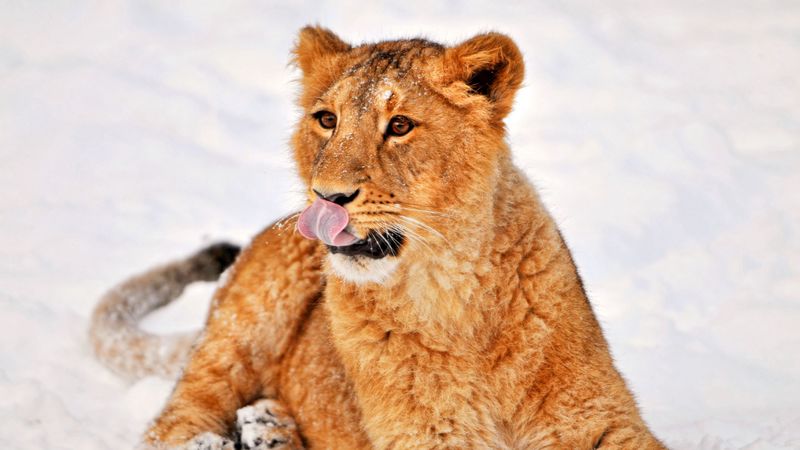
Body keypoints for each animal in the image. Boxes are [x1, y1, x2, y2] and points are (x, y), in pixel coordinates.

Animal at [90, 26, 666, 449]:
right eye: (327, 119)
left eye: (401, 125)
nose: (328, 197)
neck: (454, 295)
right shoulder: (429, 437)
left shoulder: (602, 421)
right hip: (244, 323)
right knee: (173, 421)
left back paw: (268, 428)